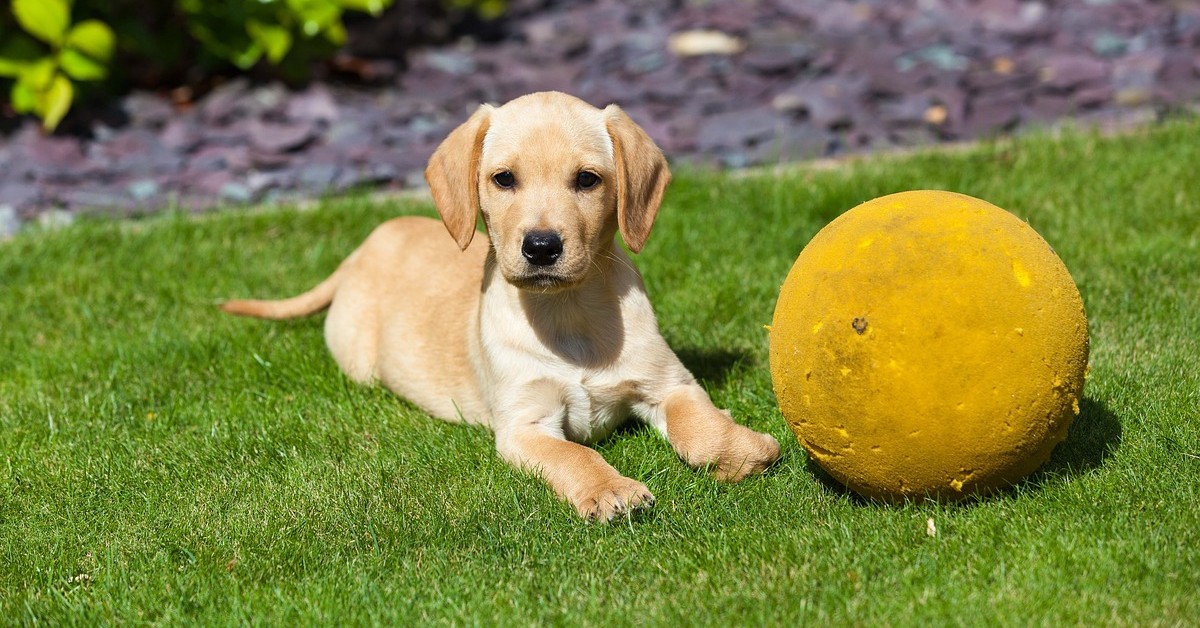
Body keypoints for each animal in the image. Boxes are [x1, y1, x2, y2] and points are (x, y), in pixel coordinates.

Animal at [225, 89, 782, 521]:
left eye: (587, 179)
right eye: (503, 179)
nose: (541, 247)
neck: (567, 313)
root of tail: (360, 251)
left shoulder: (669, 382)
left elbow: (699, 426)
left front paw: (745, 451)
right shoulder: (524, 426)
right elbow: (574, 457)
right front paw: (610, 490)